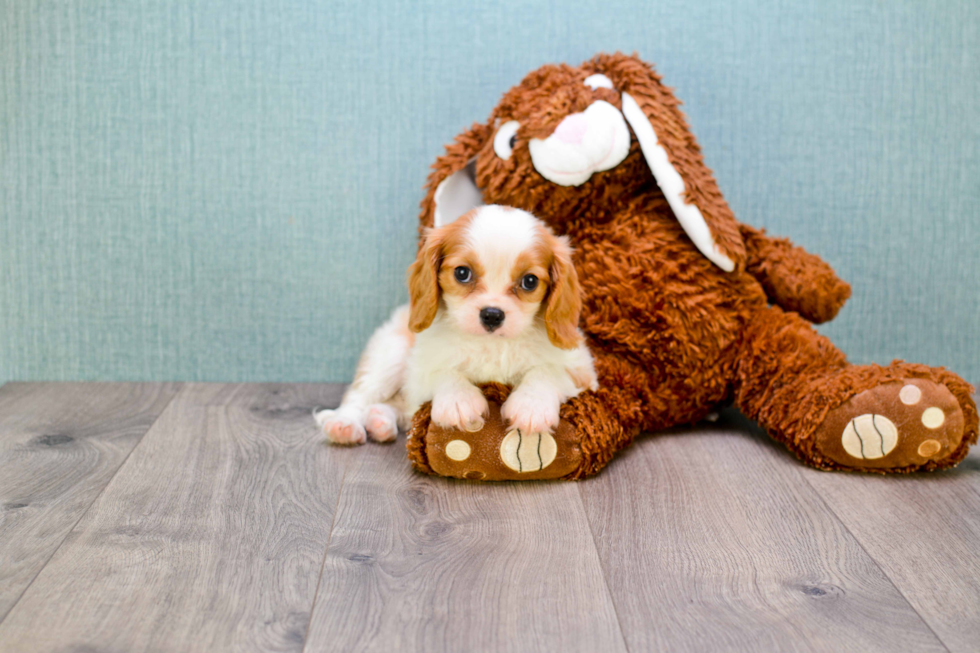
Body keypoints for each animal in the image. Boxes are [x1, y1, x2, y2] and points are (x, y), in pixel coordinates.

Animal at [318, 206, 600, 446]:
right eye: (462, 273)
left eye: (529, 281)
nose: (492, 315)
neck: (491, 345)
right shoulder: (419, 370)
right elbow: (443, 371)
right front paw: (458, 401)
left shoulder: (583, 372)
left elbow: (548, 371)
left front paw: (532, 405)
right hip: (390, 355)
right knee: (360, 396)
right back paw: (344, 425)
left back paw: (379, 421)